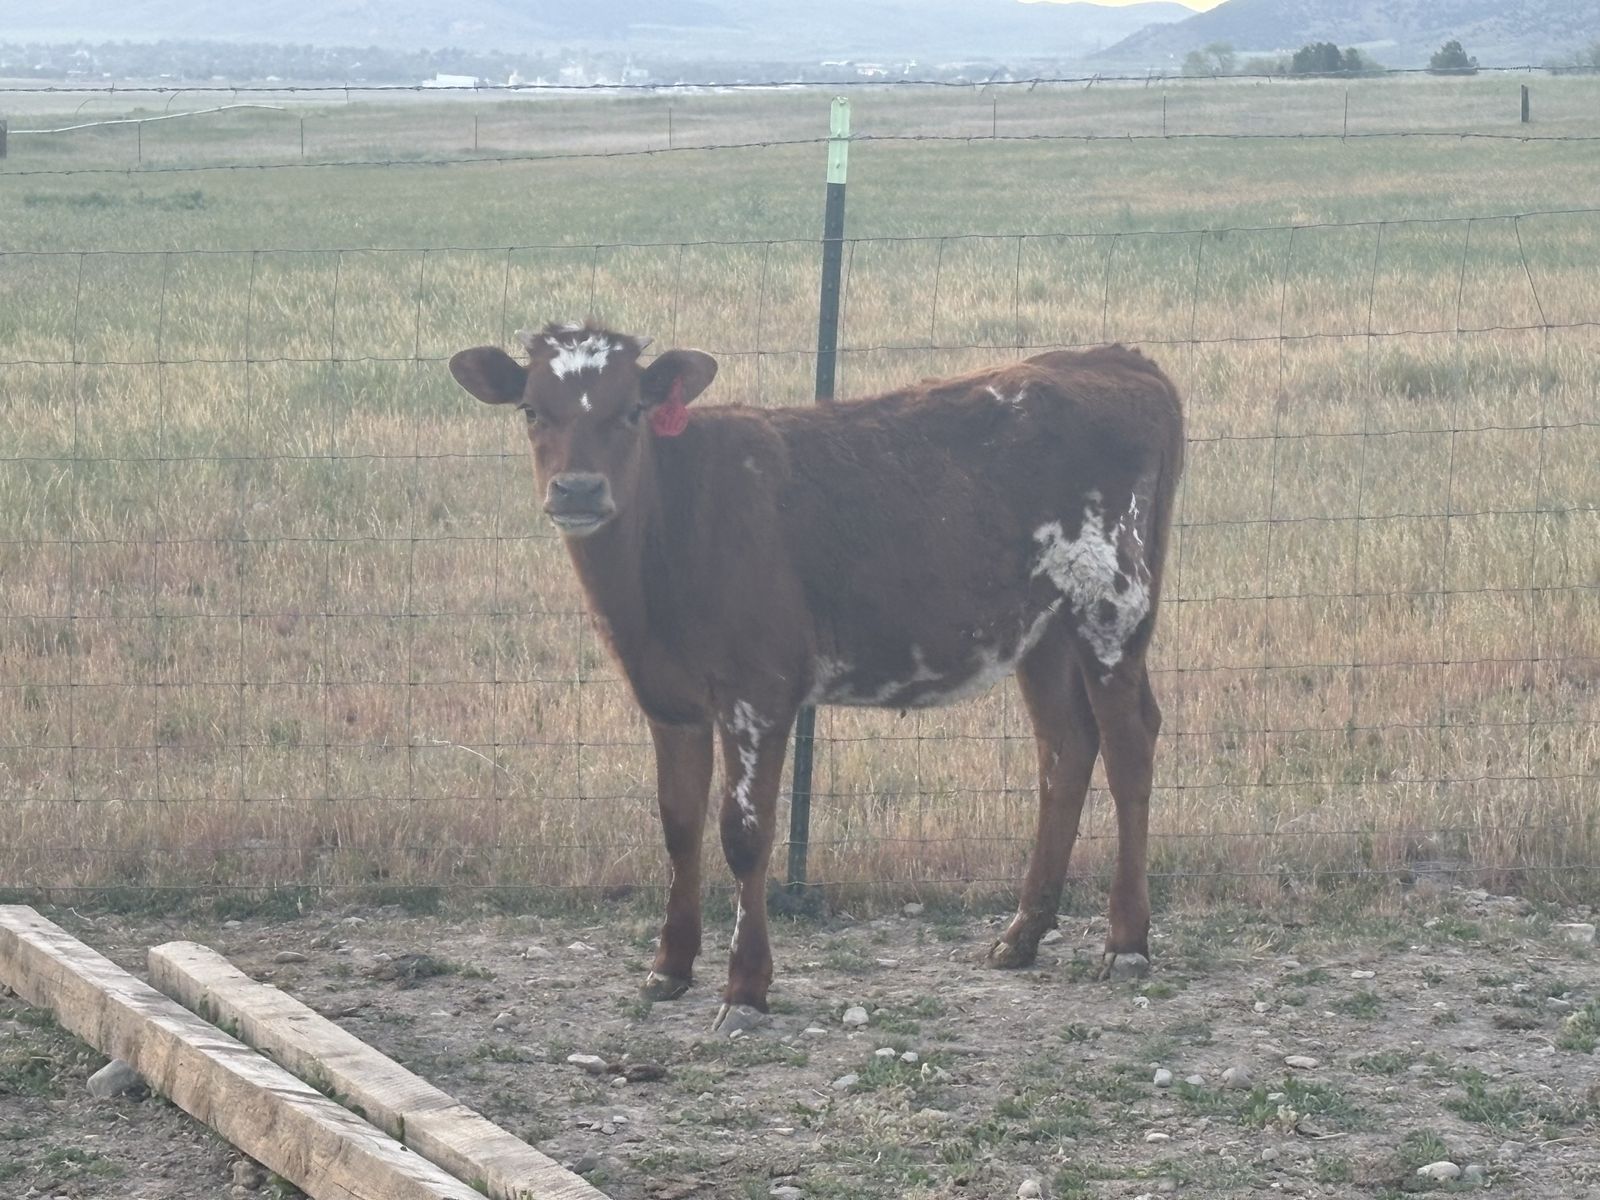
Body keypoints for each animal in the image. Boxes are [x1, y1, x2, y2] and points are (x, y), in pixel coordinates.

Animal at [449, 320, 1185, 1032]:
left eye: (632, 409)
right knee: (1065, 749)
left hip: (1112, 605)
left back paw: (1126, 942)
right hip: (1044, 630)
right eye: (530, 410)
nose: (577, 488)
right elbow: (678, 824)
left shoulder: (758, 692)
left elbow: (744, 835)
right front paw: (669, 966)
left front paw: (746, 989)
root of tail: (1115, 356)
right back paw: (1022, 934)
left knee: (1129, 747)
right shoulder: (670, 699)